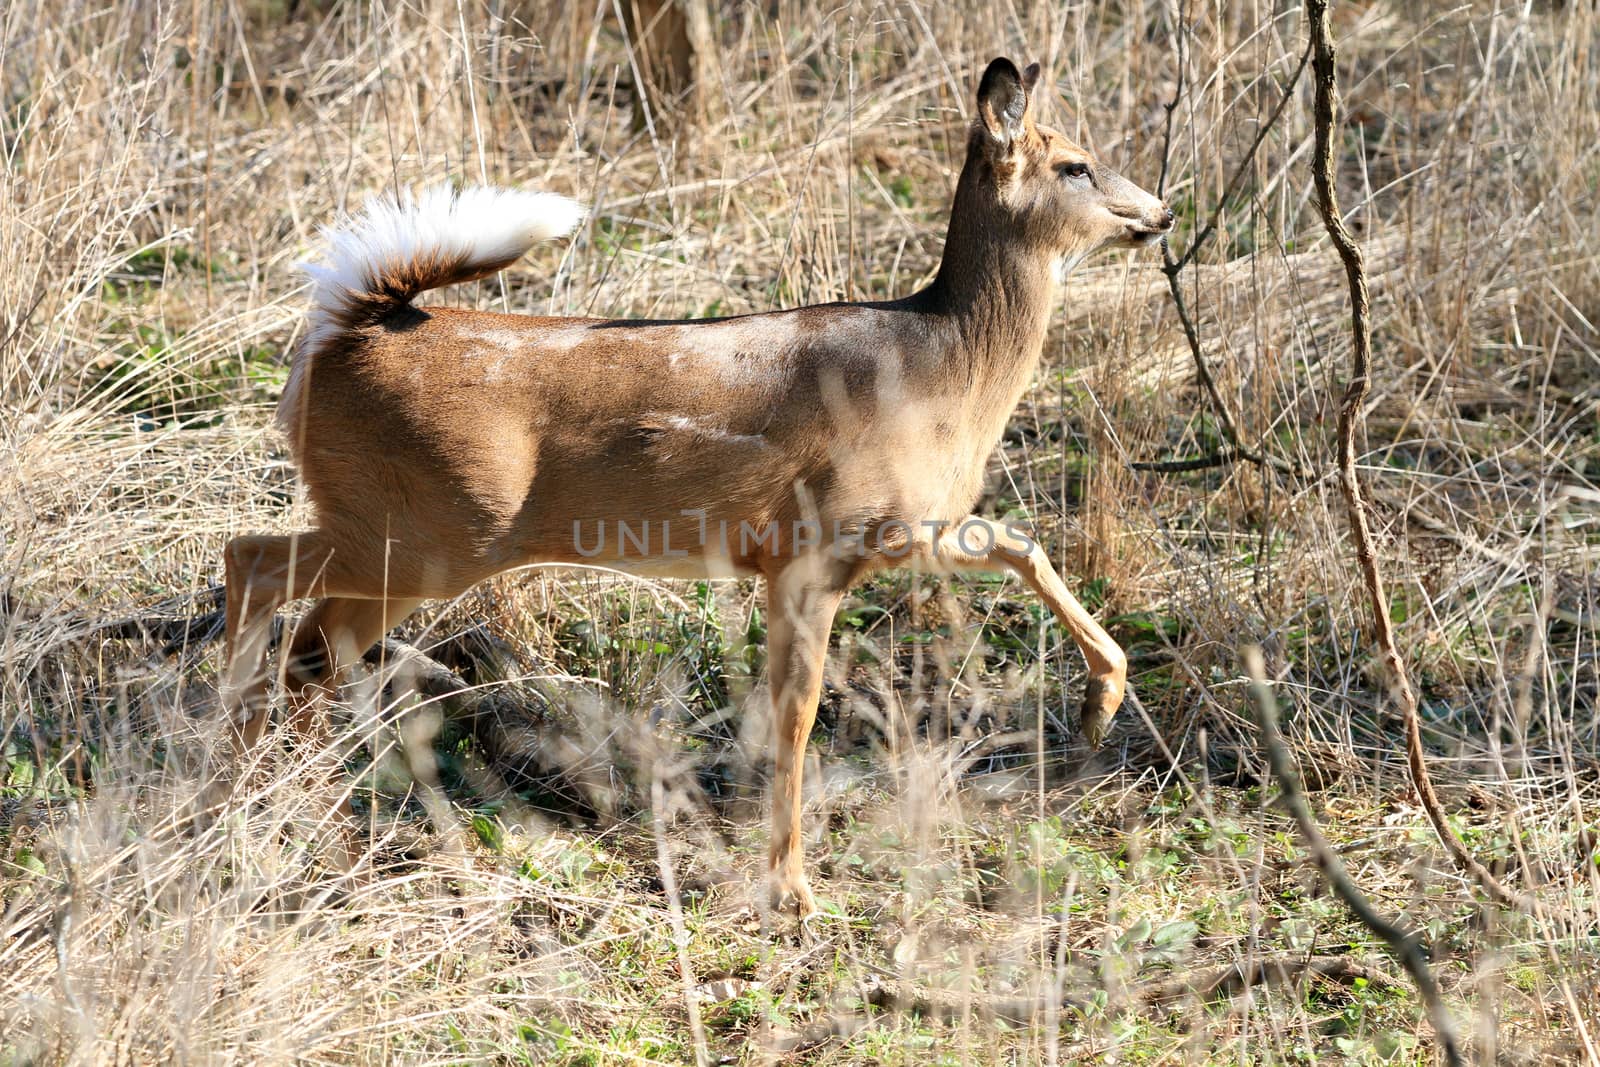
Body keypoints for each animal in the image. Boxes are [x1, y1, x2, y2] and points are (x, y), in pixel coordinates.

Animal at [225, 56, 1177, 921]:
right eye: (1076, 164)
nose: (1162, 213)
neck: (942, 370)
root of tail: (342, 335)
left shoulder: (879, 536)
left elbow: (1022, 543)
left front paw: (1101, 704)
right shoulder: (816, 545)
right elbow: (797, 714)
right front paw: (791, 890)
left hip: (409, 535)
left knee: (311, 641)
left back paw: (288, 794)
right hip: (434, 528)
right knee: (255, 561)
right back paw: (234, 765)